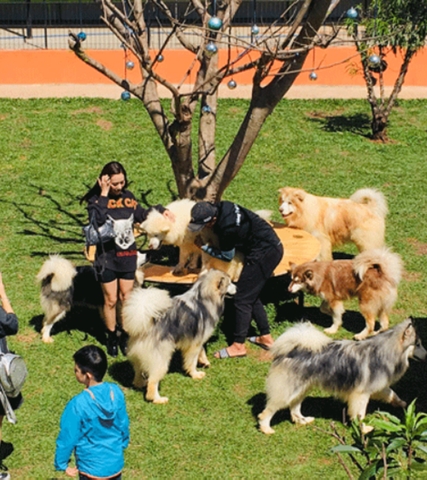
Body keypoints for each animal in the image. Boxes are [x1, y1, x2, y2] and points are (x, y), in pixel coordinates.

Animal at [122, 270, 237, 404]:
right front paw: (195, 374)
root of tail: (145, 321)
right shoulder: (195, 343)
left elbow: (202, 351)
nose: (237, 287)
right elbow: (192, 361)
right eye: (229, 283)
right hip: (161, 359)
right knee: (153, 382)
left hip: (139, 356)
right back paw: (158, 399)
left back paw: (140, 384)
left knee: (138, 372)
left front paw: (204, 361)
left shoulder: (196, 339)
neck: (202, 297)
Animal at [260, 318, 426, 436]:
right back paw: (266, 429)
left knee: (294, 407)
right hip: (287, 391)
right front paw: (364, 429)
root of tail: (290, 349)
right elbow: (360, 414)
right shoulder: (361, 394)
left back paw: (302, 420)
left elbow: (392, 394)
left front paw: (402, 404)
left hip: (301, 388)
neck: (385, 351)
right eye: (418, 344)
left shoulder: (378, 387)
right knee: (268, 411)